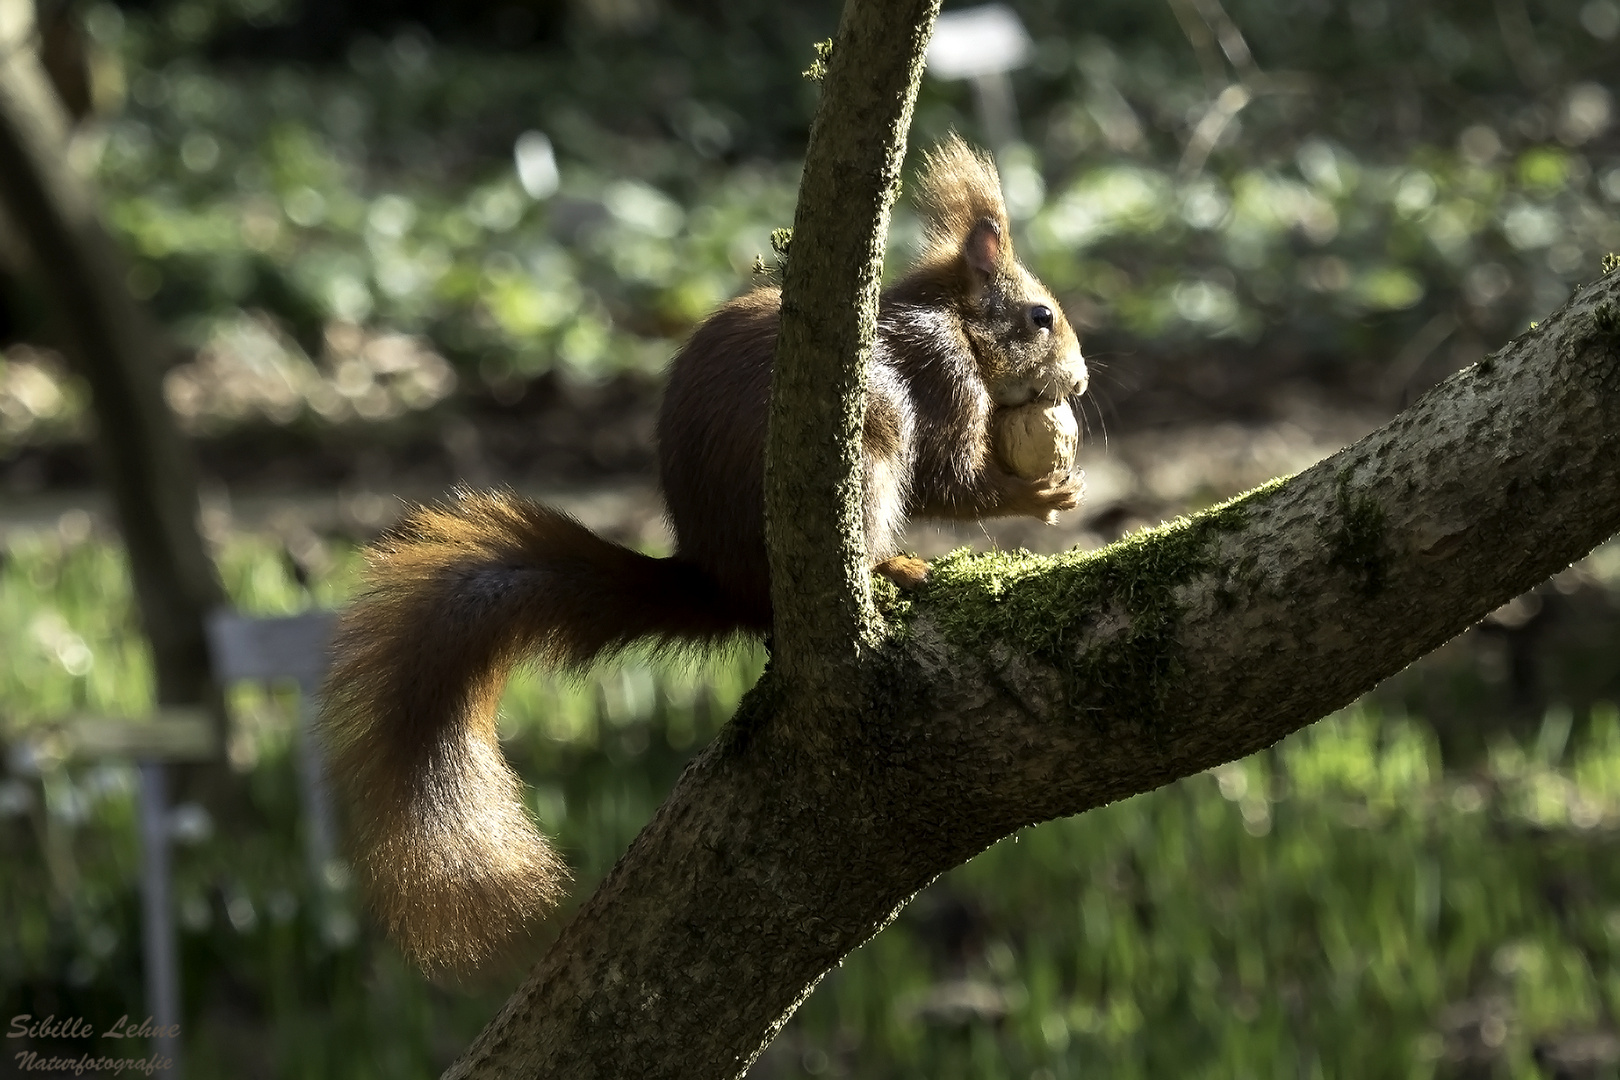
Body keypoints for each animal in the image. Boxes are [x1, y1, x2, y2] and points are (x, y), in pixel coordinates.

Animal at [315, 132, 1088, 971]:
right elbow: (952, 481)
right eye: (1042, 316)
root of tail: (720, 583)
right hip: (870, 449)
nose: (1080, 382)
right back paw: (889, 565)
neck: (947, 318)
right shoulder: (942, 376)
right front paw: (1039, 495)